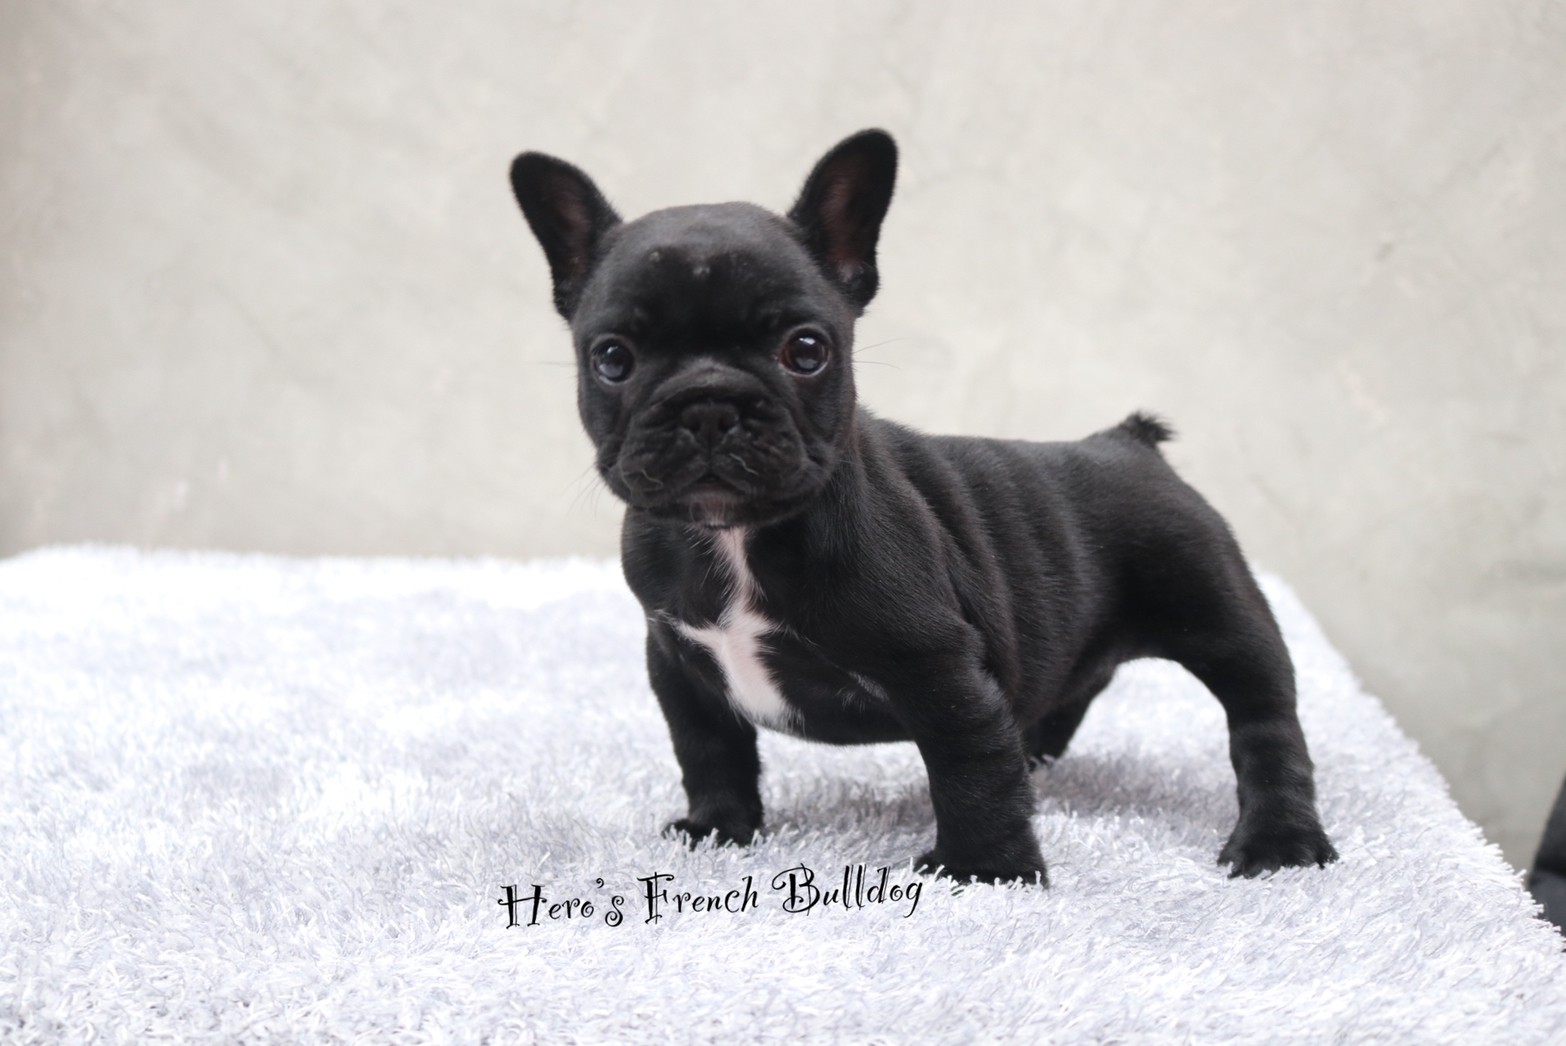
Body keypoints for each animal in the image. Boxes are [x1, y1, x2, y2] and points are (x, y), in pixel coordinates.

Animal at [507, 129, 1337, 885]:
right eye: (612, 359)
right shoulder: (679, 660)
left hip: (1215, 609)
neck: (736, 537)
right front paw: (718, 828)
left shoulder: (935, 664)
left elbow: (970, 769)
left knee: (1264, 720)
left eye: (805, 350)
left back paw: (1279, 840)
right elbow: (710, 749)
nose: (710, 405)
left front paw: (984, 871)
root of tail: (1128, 441)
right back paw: (1036, 749)